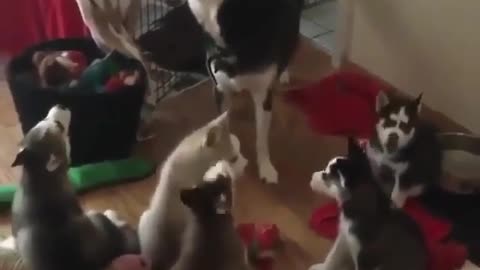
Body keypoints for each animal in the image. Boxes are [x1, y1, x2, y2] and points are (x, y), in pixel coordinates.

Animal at [187, 0, 304, 184]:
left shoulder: (263, 95)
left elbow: (261, 140)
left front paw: (266, 167)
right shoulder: (220, 89)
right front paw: (225, 163)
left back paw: (283, 72)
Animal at [310, 138, 426, 270]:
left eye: (325, 176)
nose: (313, 175)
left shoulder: (365, 256)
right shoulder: (345, 236)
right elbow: (333, 255)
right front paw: (323, 267)